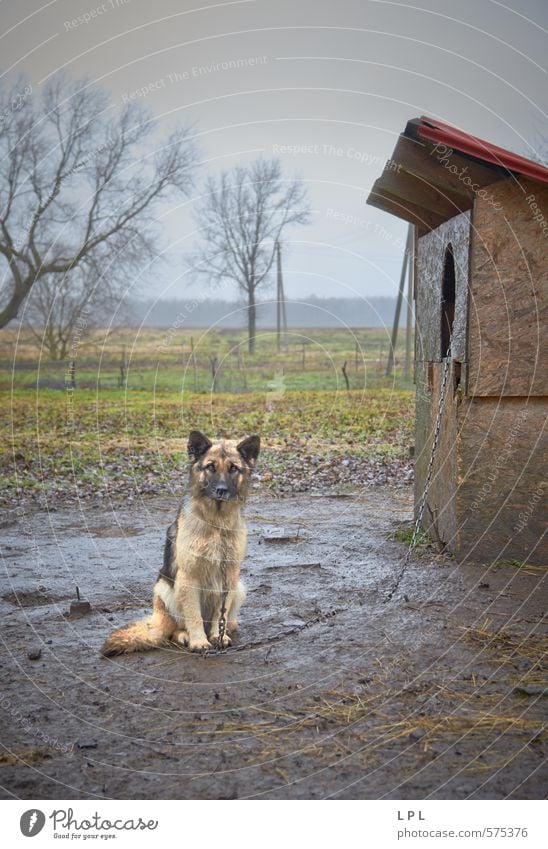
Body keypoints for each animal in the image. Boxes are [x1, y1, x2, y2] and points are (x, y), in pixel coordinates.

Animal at [102, 430, 262, 656]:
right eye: (210, 466)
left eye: (233, 468)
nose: (221, 490)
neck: (216, 523)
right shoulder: (188, 578)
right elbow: (193, 615)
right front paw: (199, 641)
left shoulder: (228, 576)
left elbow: (219, 615)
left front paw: (217, 636)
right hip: (165, 588)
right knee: (174, 629)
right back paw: (184, 635)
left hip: (238, 587)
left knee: (227, 619)